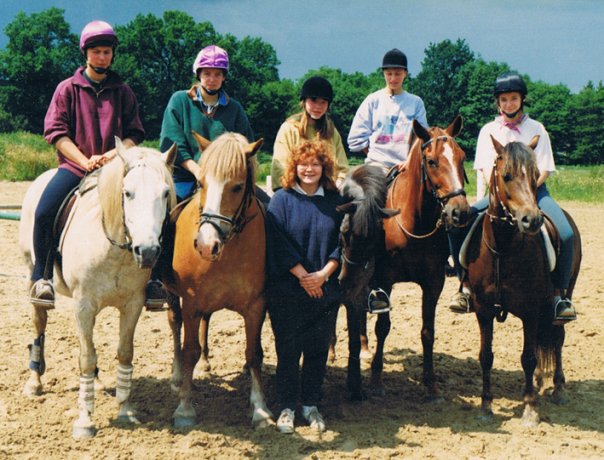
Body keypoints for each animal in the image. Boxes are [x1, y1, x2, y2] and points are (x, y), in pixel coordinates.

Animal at [18, 139, 177, 439]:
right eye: (127, 193)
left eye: (165, 193)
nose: (148, 251)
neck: (113, 249)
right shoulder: (83, 306)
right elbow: (86, 357)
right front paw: (85, 421)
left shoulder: (132, 305)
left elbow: (124, 352)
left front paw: (125, 410)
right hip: (34, 279)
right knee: (39, 324)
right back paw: (34, 382)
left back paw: (99, 383)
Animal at [165, 132, 273, 429]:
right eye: (201, 183)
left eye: (237, 187)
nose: (205, 245)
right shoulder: (191, 302)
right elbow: (189, 349)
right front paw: (184, 409)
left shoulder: (256, 305)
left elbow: (254, 353)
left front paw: (260, 408)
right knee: (174, 323)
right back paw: (177, 376)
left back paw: (206, 362)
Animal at [338, 115, 469, 401]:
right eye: (432, 161)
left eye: (462, 157)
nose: (460, 212)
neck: (413, 223)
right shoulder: (385, 281)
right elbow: (383, 327)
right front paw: (376, 380)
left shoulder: (433, 282)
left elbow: (428, 331)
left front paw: (430, 384)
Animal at [463, 136, 582, 426]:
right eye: (506, 176)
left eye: (536, 176)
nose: (532, 220)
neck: (503, 249)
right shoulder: (484, 311)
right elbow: (486, 356)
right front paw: (486, 406)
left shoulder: (530, 310)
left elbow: (528, 357)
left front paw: (530, 408)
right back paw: (539, 381)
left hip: (563, 297)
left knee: (558, 338)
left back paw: (558, 389)